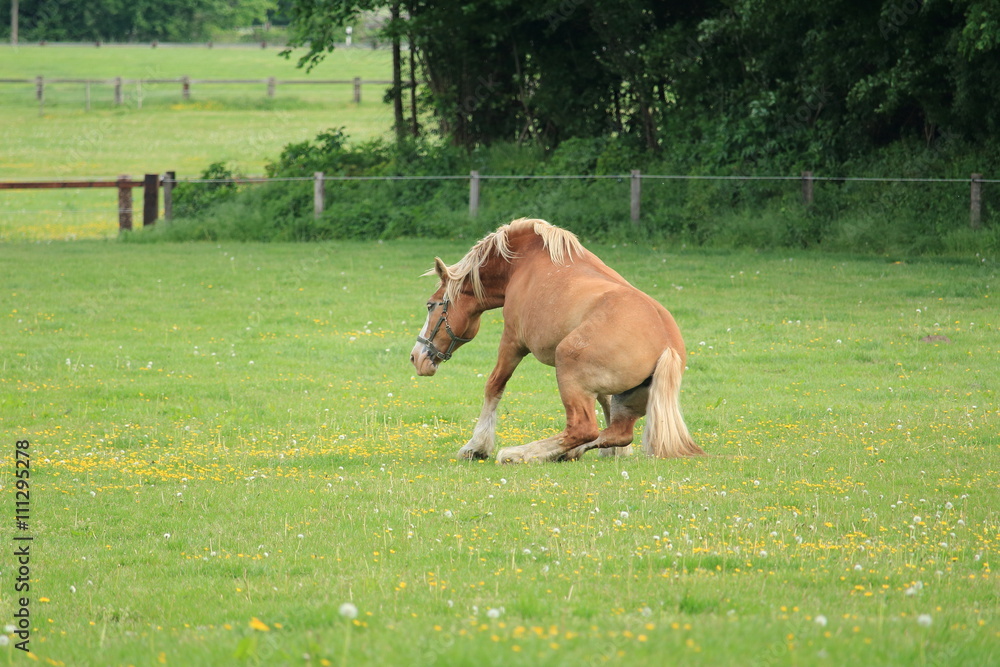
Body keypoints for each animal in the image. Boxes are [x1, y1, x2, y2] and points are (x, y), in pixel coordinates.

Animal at [409, 218, 703, 464]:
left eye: (431, 305)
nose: (416, 357)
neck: (523, 264)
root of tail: (667, 345)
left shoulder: (513, 342)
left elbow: (494, 387)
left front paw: (477, 446)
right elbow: (605, 403)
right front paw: (614, 453)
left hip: (567, 364)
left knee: (583, 429)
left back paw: (521, 454)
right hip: (626, 397)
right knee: (617, 432)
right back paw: (567, 452)